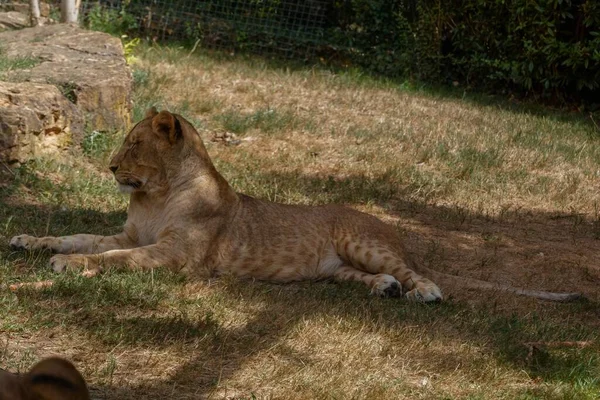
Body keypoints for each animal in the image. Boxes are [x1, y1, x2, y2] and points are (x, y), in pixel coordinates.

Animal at [8, 108, 580, 302]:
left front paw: (67, 265)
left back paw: (424, 291)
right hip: (336, 268)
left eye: (131, 144)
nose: (108, 167)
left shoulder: (174, 256)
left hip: (362, 239)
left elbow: (110, 259)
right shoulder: (132, 234)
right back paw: (385, 290)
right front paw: (28, 240)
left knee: (417, 271)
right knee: (370, 277)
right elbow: (82, 235)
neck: (156, 196)